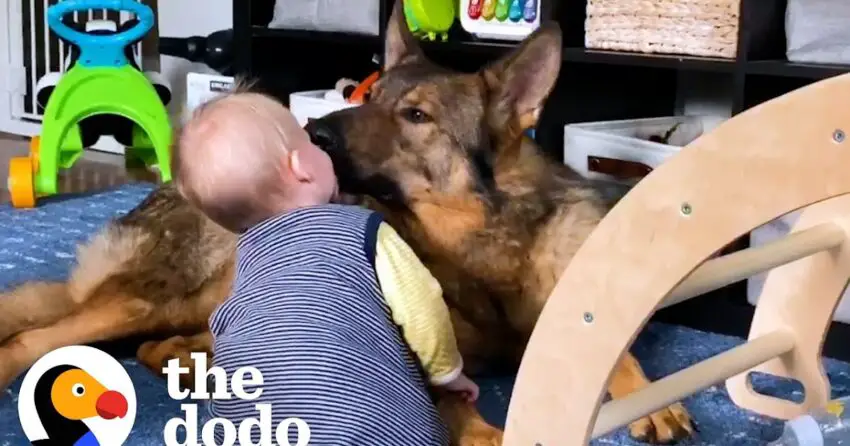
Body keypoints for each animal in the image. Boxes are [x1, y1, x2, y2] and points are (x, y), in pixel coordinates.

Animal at [0, 2, 688, 442]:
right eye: (369, 96)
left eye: (416, 115)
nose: (314, 134)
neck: (484, 245)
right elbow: (445, 392)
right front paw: (480, 430)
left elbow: (615, 345)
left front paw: (647, 395)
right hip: (157, 299)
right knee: (42, 337)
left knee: (159, 348)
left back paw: (203, 369)